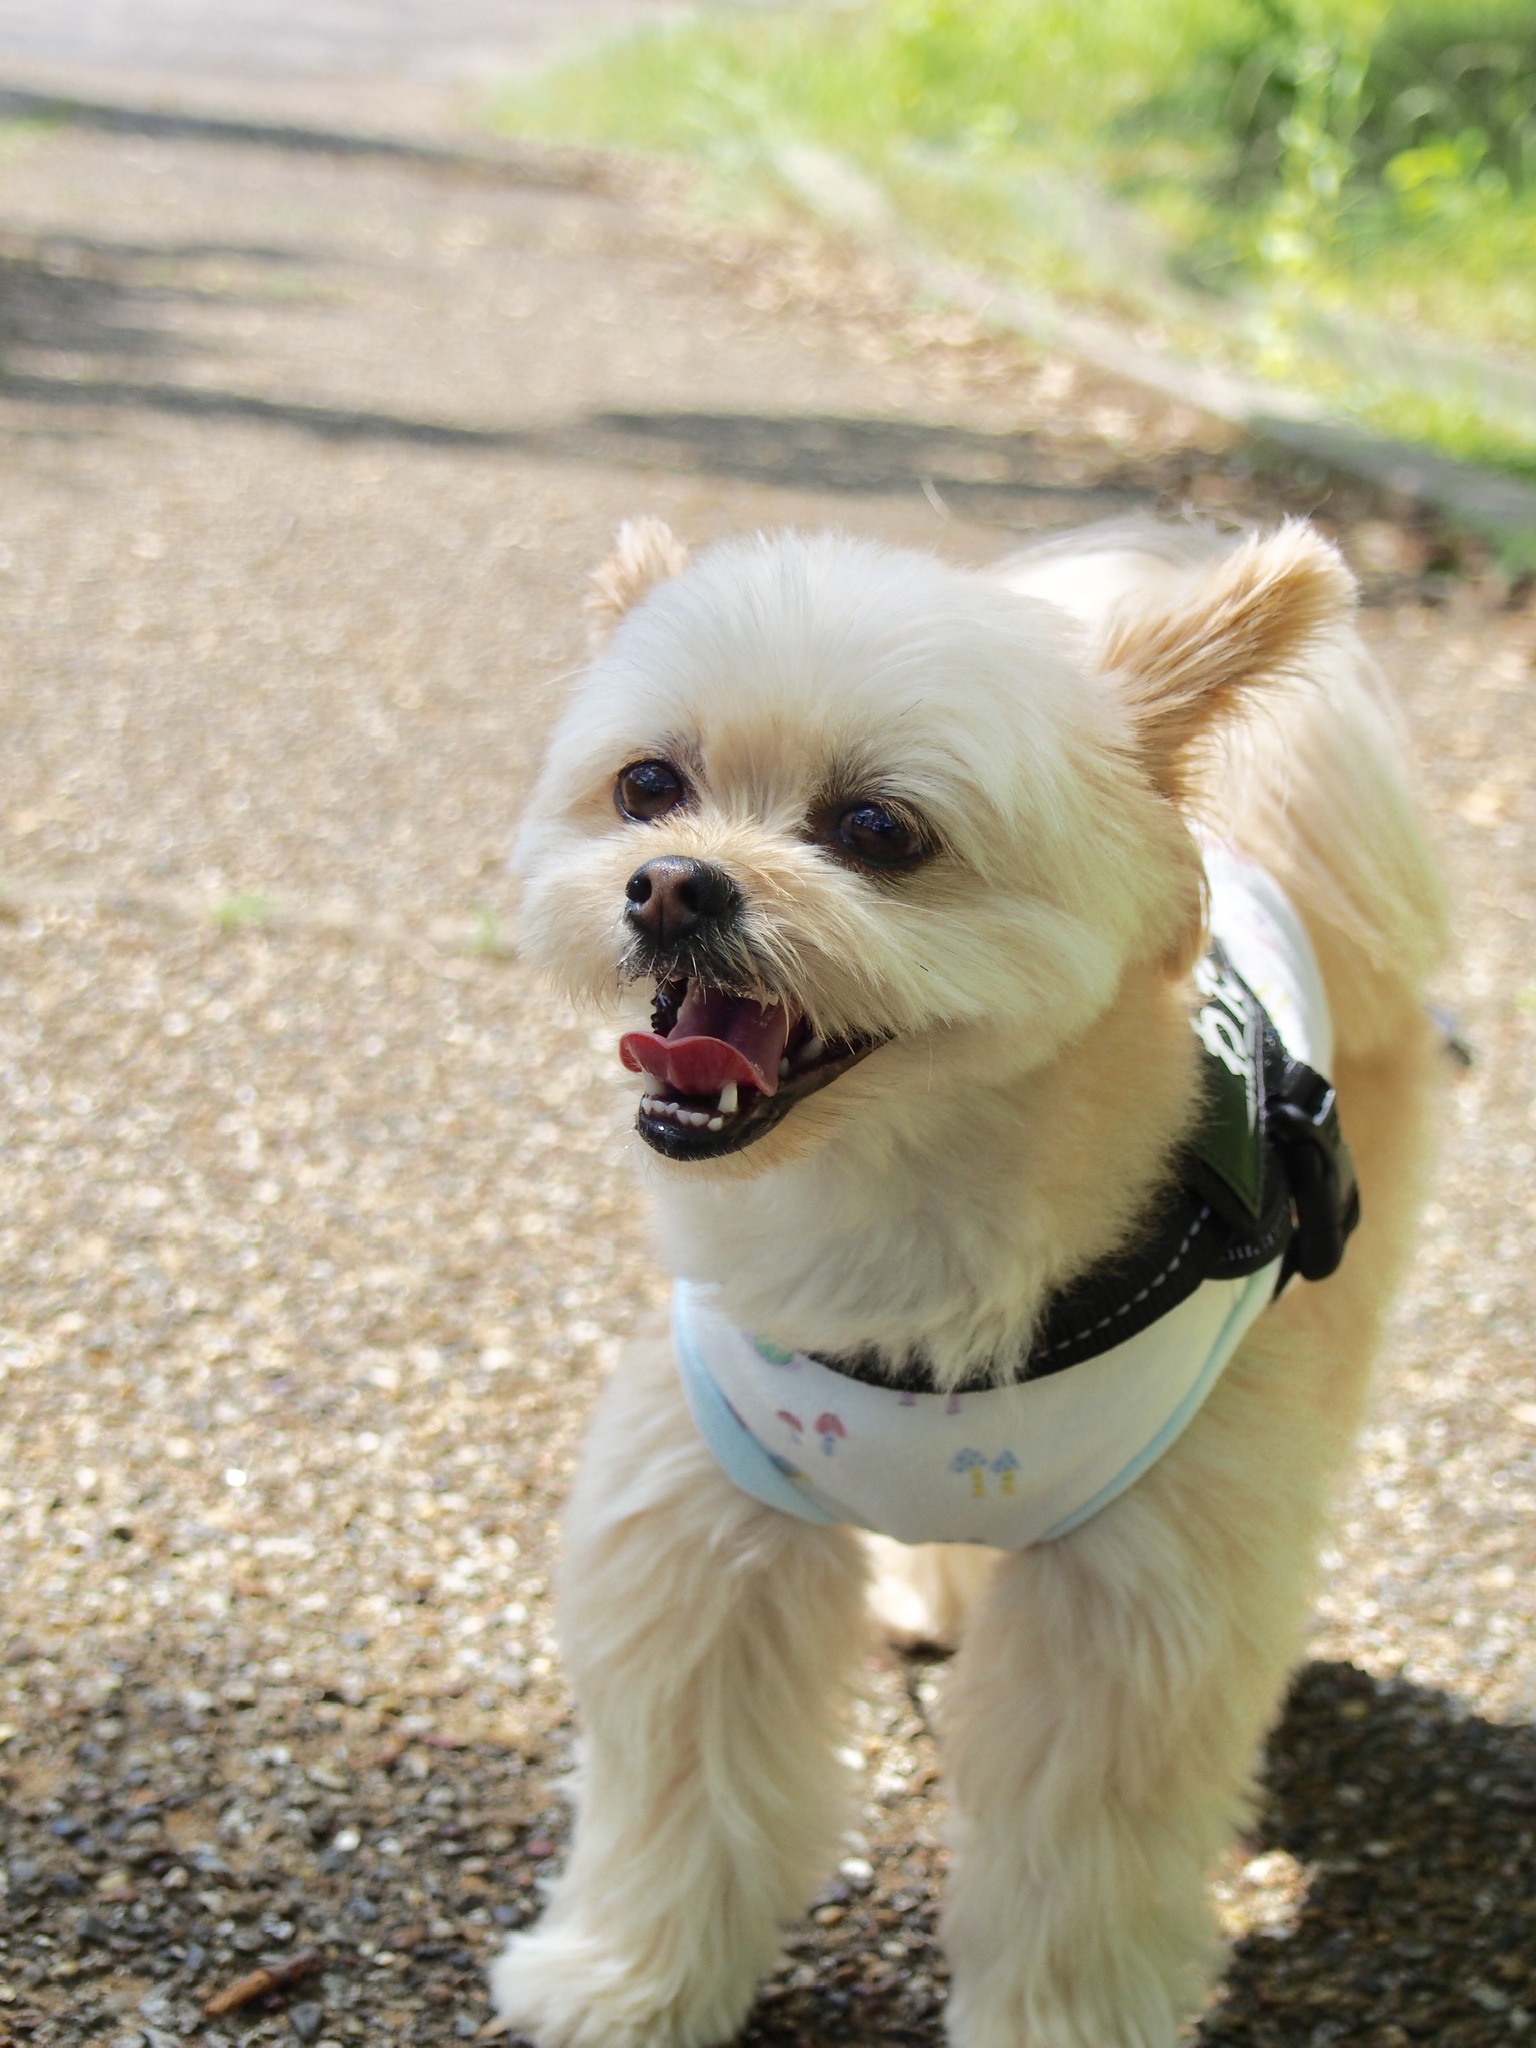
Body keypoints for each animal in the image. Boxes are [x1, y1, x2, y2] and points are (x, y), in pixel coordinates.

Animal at [491, 514, 1446, 2048]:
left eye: (880, 830)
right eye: (648, 786)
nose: (671, 880)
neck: (901, 1208)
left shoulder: (1127, 1605)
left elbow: (1077, 1858)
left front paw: (1059, 2024)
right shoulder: (705, 1515)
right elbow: (680, 1783)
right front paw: (624, 1978)